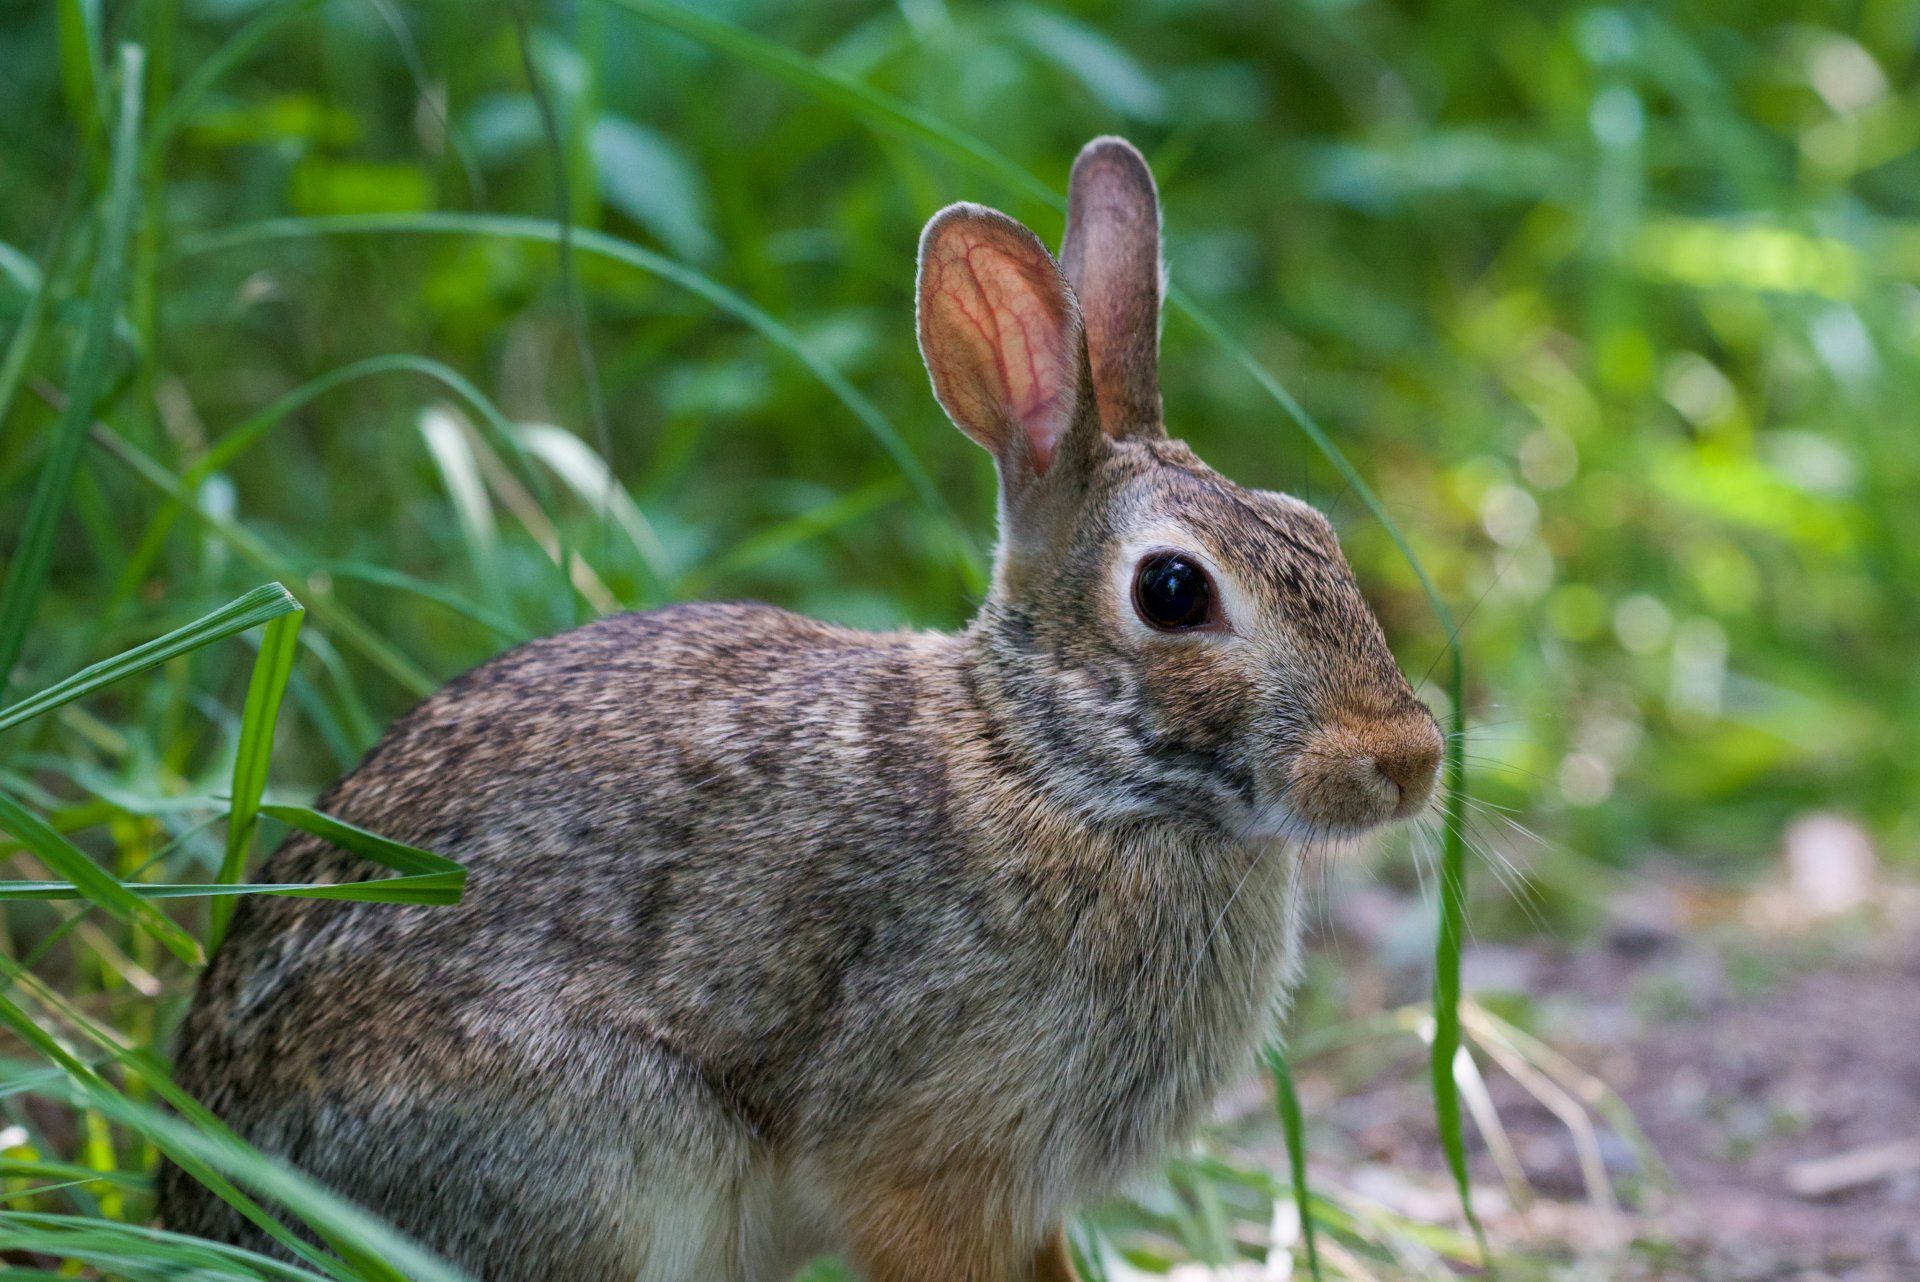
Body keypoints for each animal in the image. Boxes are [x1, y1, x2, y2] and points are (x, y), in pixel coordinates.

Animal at [159, 136, 1443, 1282]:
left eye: (1313, 530)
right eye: (1173, 591)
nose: (1411, 760)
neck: (1054, 770)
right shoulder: (929, 1164)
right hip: (602, 1157)